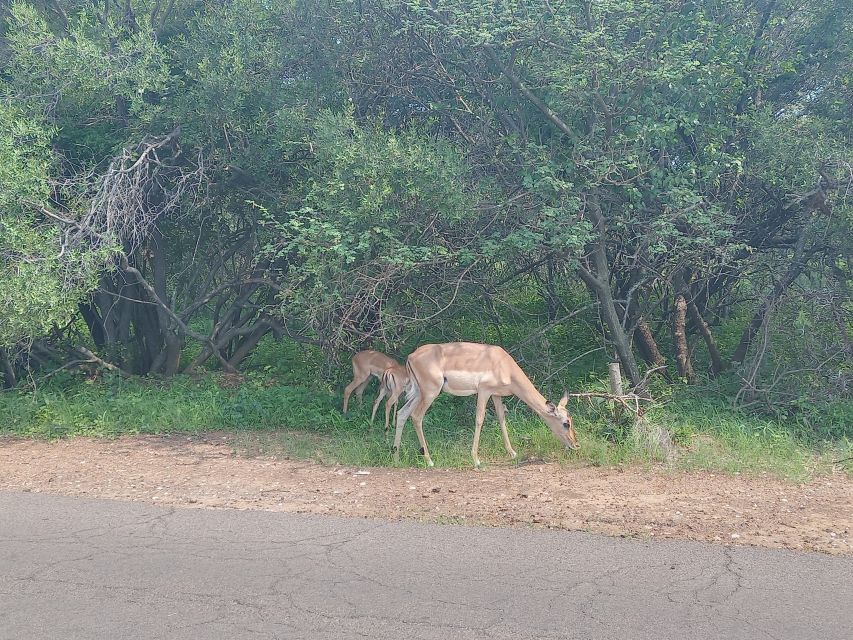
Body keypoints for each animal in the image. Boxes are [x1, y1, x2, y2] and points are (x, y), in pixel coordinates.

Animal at [392, 342, 580, 468]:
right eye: (566, 423)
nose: (575, 444)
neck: (504, 365)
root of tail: (411, 357)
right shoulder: (484, 391)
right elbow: (479, 420)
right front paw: (476, 459)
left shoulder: (496, 395)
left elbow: (501, 418)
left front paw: (512, 453)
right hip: (430, 393)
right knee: (416, 416)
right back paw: (429, 460)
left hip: (418, 393)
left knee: (401, 413)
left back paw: (396, 457)